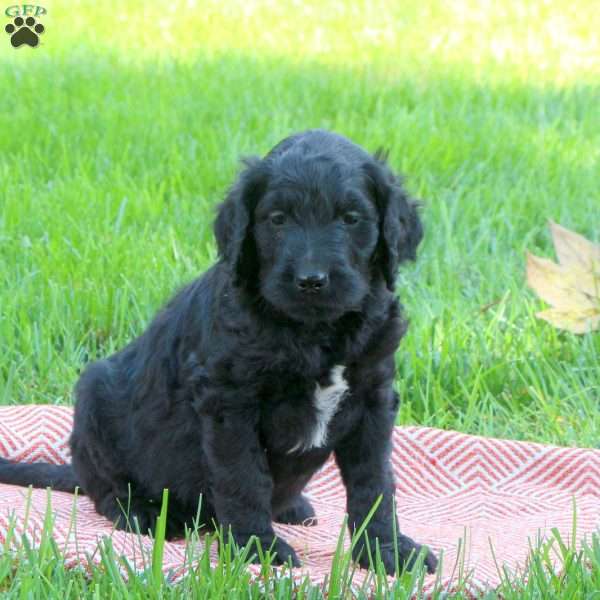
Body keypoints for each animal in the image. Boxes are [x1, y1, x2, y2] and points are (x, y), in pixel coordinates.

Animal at [0, 130, 436, 572]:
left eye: (351, 218)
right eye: (277, 219)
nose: (311, 281)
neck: (314, 332)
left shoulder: (372, 398)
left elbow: (374, 483)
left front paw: (388, 551)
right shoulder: (230, 400)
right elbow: (244, 477)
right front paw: (258, 548)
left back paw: (291, 506)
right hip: (94, 402)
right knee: (107, 489)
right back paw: (143, 512)